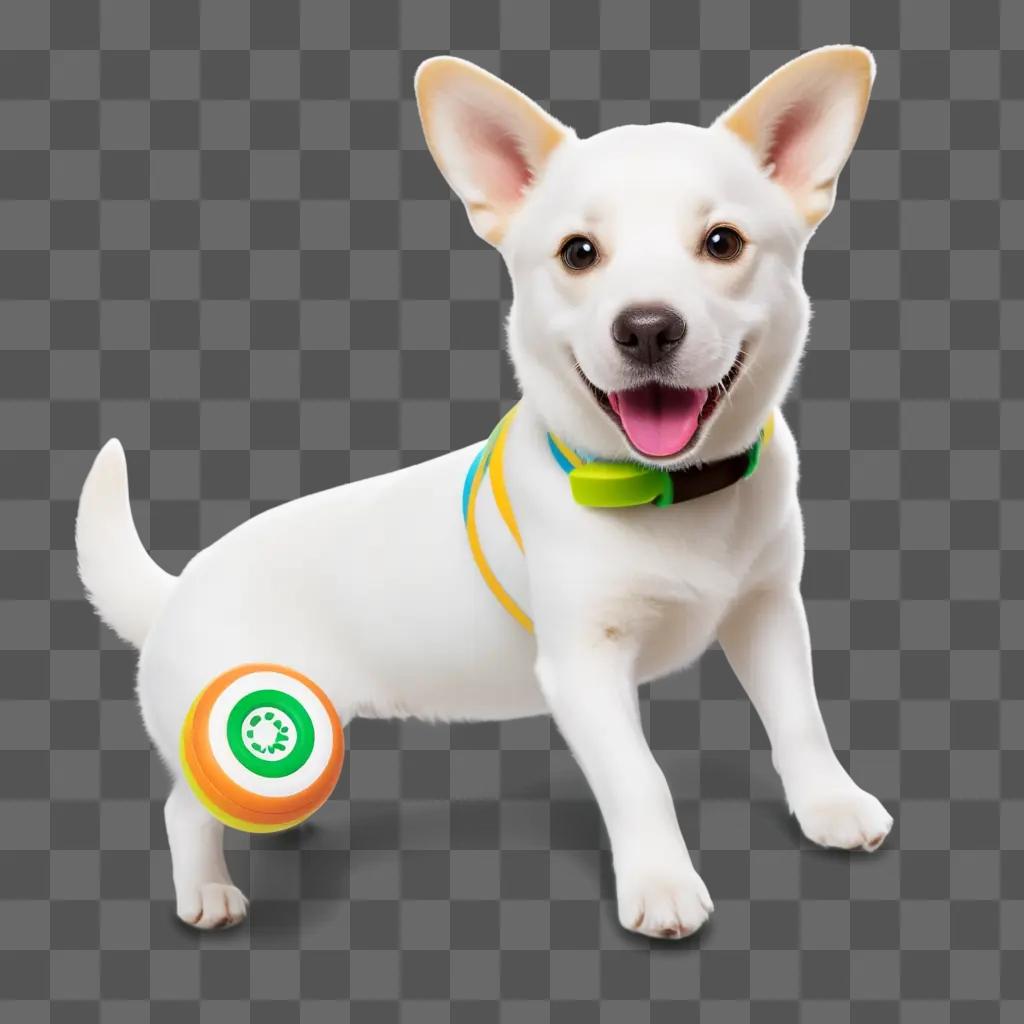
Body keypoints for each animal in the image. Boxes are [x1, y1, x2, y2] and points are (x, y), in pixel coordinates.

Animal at [79, 48, 892, 937]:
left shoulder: (767, 612)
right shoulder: (584, 665)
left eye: (723, 243)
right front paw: (662, 885)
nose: (646, 328)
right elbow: (639, 777)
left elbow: (799, 718)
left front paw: (831, 807)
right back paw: (207, 894)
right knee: (184, 809)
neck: (673, 495)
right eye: (579, 253)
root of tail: (176, 590)